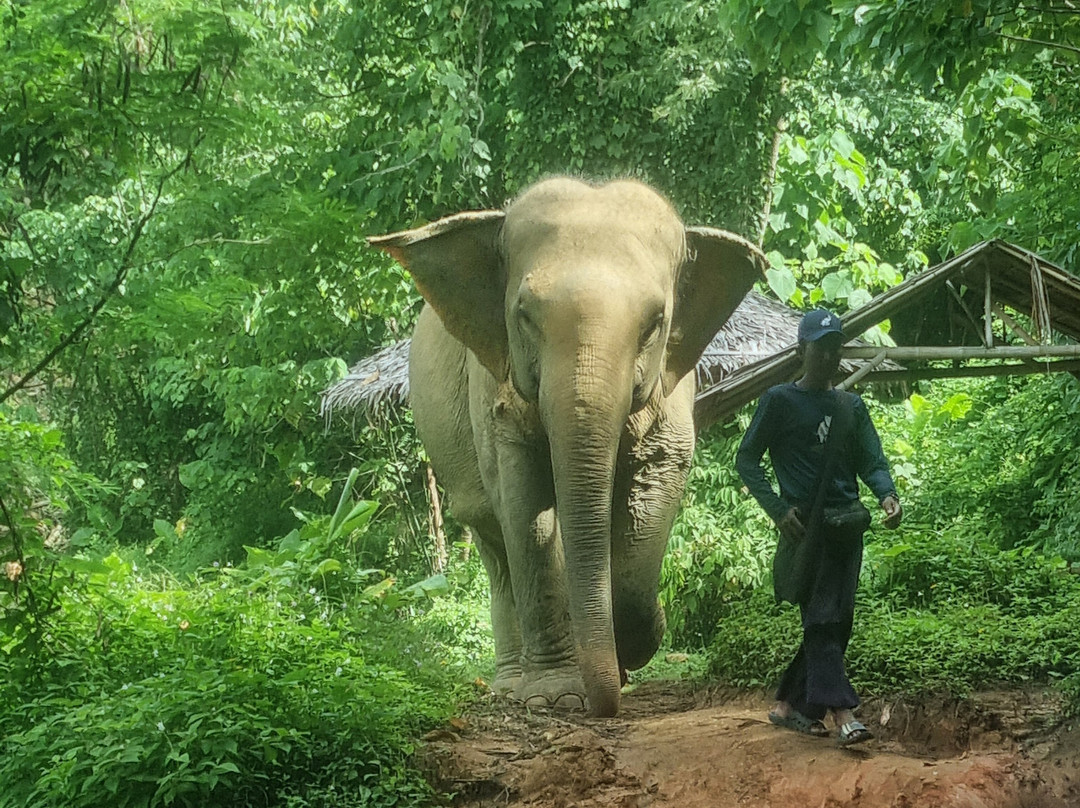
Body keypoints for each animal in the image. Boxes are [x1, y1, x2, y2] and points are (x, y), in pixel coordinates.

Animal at [371, 177, 768, 712]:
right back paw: (512, 685)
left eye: (655, 322)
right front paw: (557, 698)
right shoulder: (494, 388)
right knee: (495, 544)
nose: (605, 704)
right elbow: (526, 508)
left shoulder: (674, 390)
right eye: (524, 316)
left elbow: (657, 479)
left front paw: (632, 644)